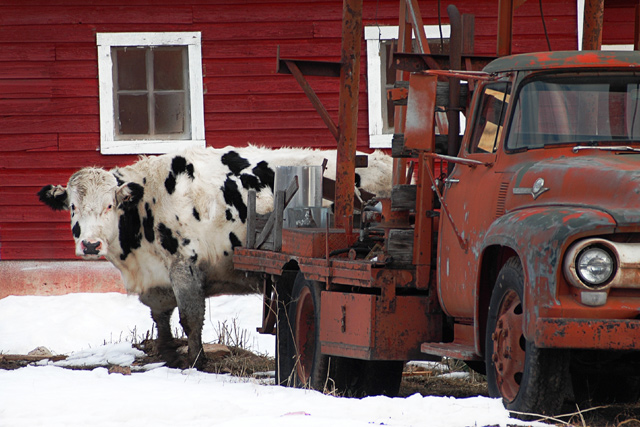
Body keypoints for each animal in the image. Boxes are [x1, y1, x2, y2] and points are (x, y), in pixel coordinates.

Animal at [40, 145, 392, 370]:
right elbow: (161, 318)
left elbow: (190, 318)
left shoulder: (185, 266)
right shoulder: (157, 281)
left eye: (110, 205)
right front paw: (167, 355)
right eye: (73, 206)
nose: (90, 245)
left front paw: (195, 360)